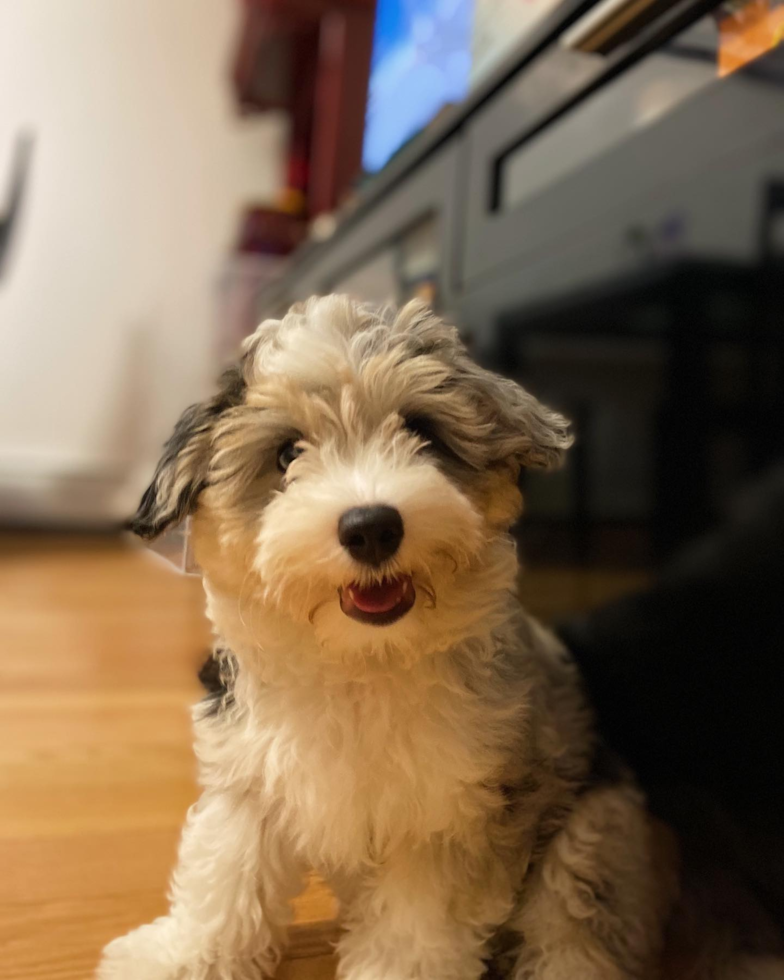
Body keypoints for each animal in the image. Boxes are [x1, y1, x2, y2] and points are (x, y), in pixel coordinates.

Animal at [96, 298, 672, 980]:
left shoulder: (451, 816)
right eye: (287, 454)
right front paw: (184, 956)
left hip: (593, 838)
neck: (362, 663)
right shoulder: (249, 776)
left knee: (572, 932)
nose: (371, 526)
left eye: (423, 431)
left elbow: (418, 923)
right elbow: (225, 871)